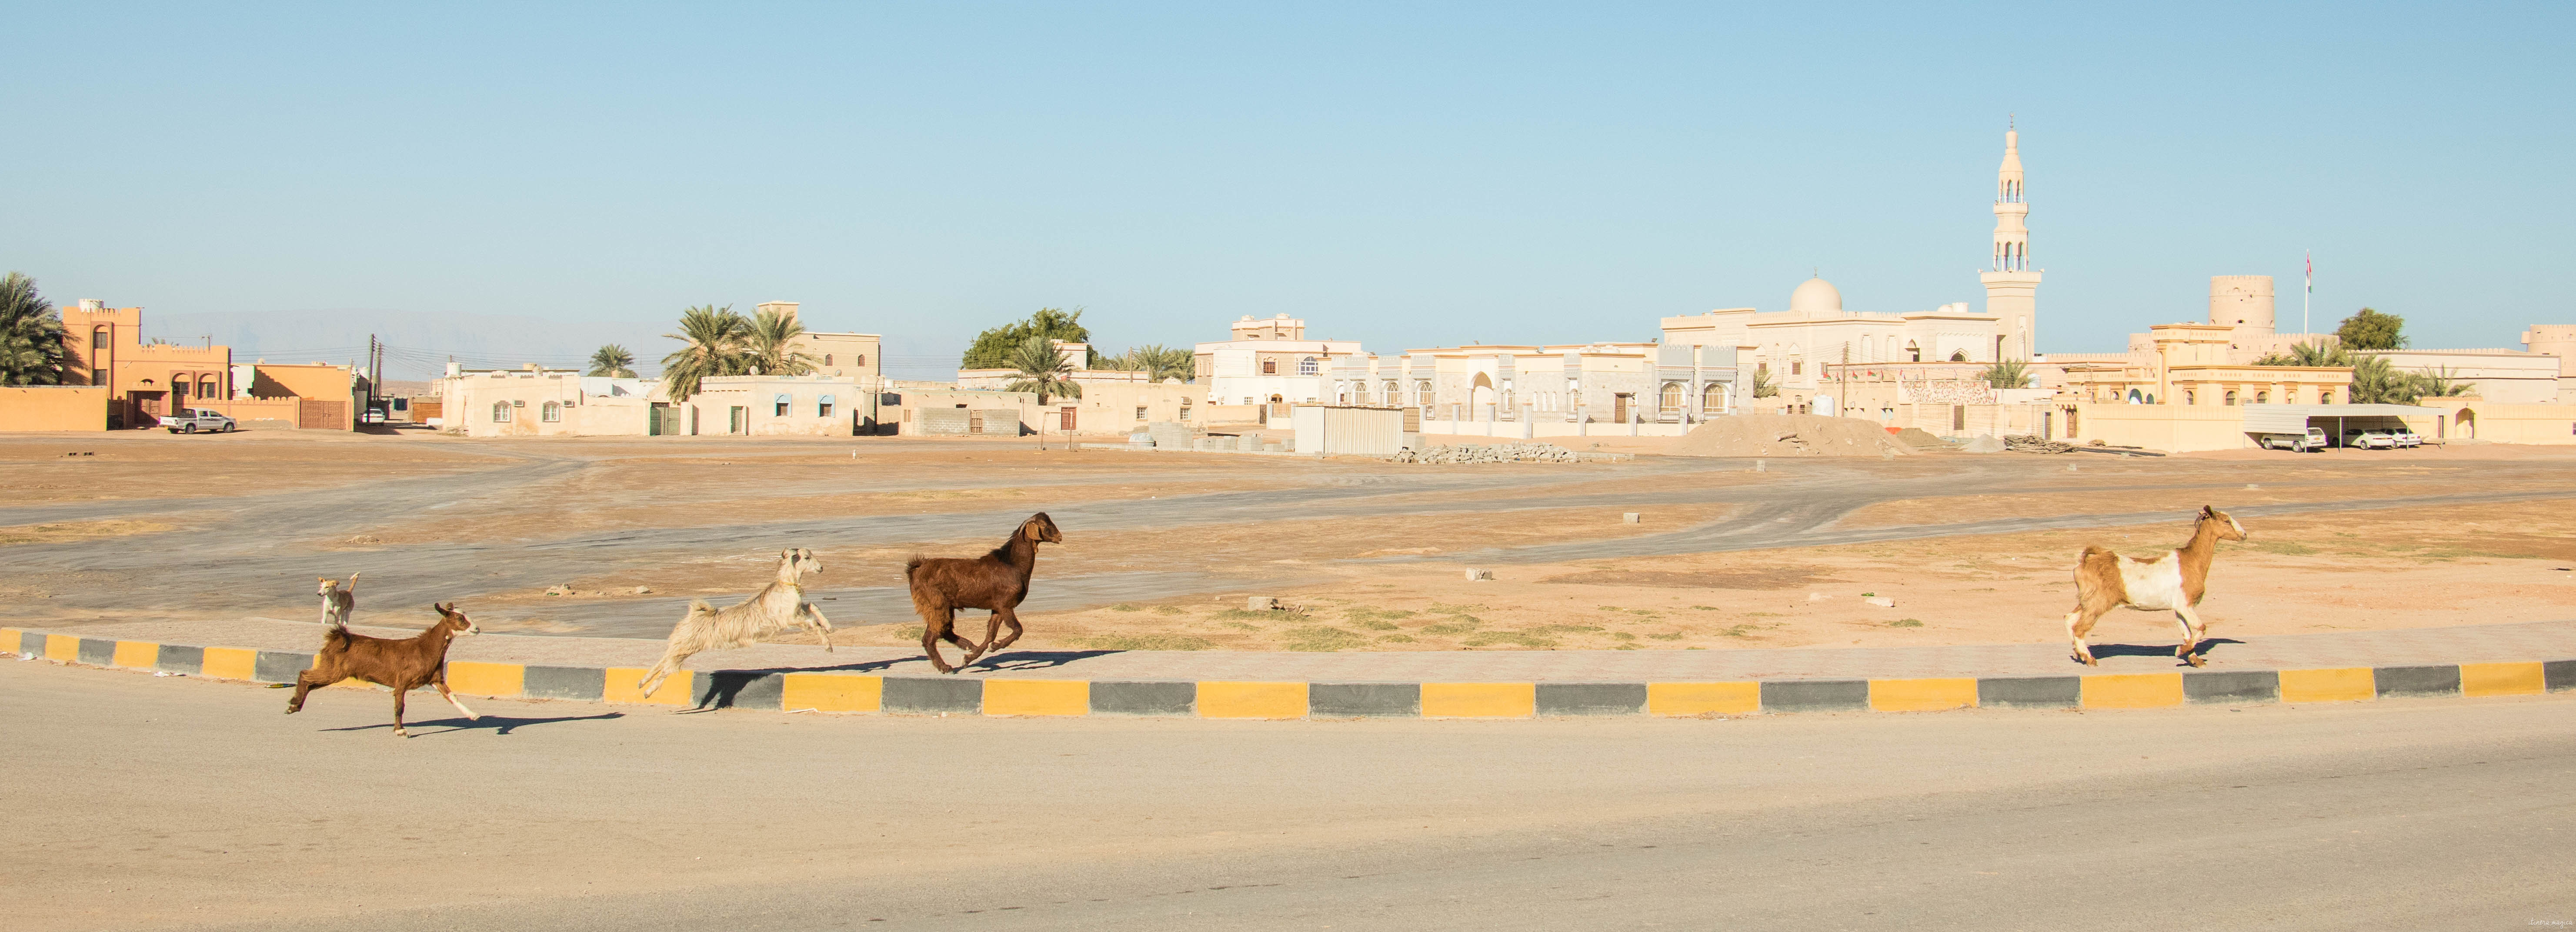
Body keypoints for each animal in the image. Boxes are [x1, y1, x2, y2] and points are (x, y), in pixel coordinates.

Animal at [280, 600, 479, 741]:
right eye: (460, 619)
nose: (477, 629)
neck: (425, 649)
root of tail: (336, 638)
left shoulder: (435, 678)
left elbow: (452, 696)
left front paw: (473, 715)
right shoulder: (402, 681)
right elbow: (400, 707)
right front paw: (401, 731)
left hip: (334, 671)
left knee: (311, 682)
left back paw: (294, 706)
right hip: (334, 670)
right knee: (305, 675)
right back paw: (293, 705)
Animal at [315, 571, 360, 631]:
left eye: (327, 587)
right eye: (321, 587)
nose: (319, 594)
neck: (331, 601)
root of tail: (348, 592)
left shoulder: (336, 616)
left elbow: (336, 623)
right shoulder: (325, 614)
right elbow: (324, 621)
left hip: (348, 612)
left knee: (345, 622)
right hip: (342, 613)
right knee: (341, 621)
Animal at [634, 551, 834, 695]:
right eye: (807, 557)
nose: (822, 567)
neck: (787, 585)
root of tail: (694, 615)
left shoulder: (799, 610)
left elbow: (814, 606)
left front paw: (830, 627)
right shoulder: (790, 617)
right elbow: (813, 623)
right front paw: (828, 646)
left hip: (680, 644)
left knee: (663, 660)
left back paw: (642, 683)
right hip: (687, 646)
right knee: (668, 668)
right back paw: (648, 691)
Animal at [912, 512, 1061, 675]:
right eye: (1045, 525)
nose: (1060, 537)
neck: (1013, 565)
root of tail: (917, 569)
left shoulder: (997, 609)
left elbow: (990, 635)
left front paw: (970, 658)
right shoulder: (1005, 606)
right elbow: (1017, 630)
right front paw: (994, 647)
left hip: (944, 608)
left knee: (945, 631)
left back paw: (969, 647)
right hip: (938, 606)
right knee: (929, 638)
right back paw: (946, 667)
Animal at [2061, 507, 2246, 664]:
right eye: (2226, 521)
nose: (2244, 534)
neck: (2191, 561)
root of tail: (2083, 563)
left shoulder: (2178, 608)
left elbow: (2187, 633)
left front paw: (2195, 660)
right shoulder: (2185, 605)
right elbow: (2201, 628)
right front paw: (2181, 651)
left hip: (2087, 601)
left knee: (2069, 618)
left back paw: (2078, 653)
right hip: (2098, 602)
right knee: (2079, 628)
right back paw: (2088, 658)